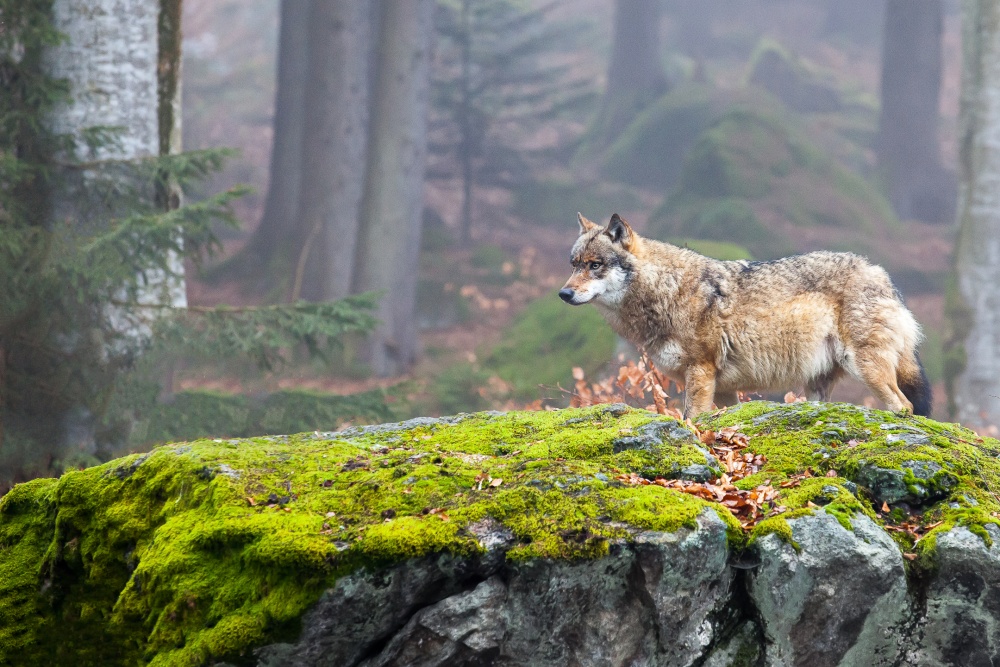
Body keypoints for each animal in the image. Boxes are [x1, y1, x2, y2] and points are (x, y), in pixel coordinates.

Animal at [560, 214, 932, 418]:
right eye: (574, 264)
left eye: (595, 265)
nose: (564, 294)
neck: (666, 289)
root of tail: (881, 273)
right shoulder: (723, 388)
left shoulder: (701, 372)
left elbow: (691, 418)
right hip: (817, 386)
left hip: (867, 368)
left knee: (904, 406)